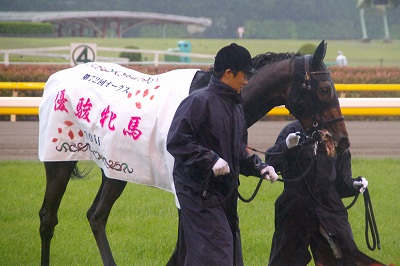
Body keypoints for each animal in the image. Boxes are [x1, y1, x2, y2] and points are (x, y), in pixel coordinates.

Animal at [39, 40, 348, 264]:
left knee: (96, 216)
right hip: (59, 160)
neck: (211, 95)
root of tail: (55, 77)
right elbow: (186, 245)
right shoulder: (187, 188)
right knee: (47, 218)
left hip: (117, 167)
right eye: (324, 88)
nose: (342, 140)